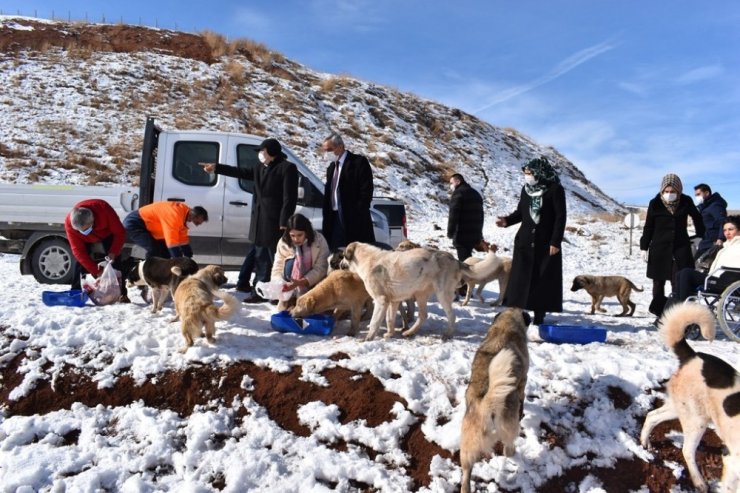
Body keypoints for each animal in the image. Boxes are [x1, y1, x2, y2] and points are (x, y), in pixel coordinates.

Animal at [342, 240, 492, 340]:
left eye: (343, 255)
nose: (340, 264)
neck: (369, 260)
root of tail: (454, 260)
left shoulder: (381, 301)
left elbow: (374, 322)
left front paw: (368, 338)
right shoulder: (393, 302)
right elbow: (389, 319)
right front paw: (390, 334)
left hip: (442, 295)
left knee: (451, 316)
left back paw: (447, 334)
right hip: (421, 295)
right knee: (423, 315)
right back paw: (409, 332)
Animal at [460, 308, 528, 492]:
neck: (505, 327)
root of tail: (484, 405)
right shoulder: (523, 382)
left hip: (467, 445)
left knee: (466, 473)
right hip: (510, 427)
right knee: (508, 446)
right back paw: (512, 451)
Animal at [640, 302, 736, 490]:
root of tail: (693, 356)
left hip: (681, 408)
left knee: (652, 415)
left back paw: (644, 442)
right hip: (696, 420)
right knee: (687, 450)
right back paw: (699, 482)